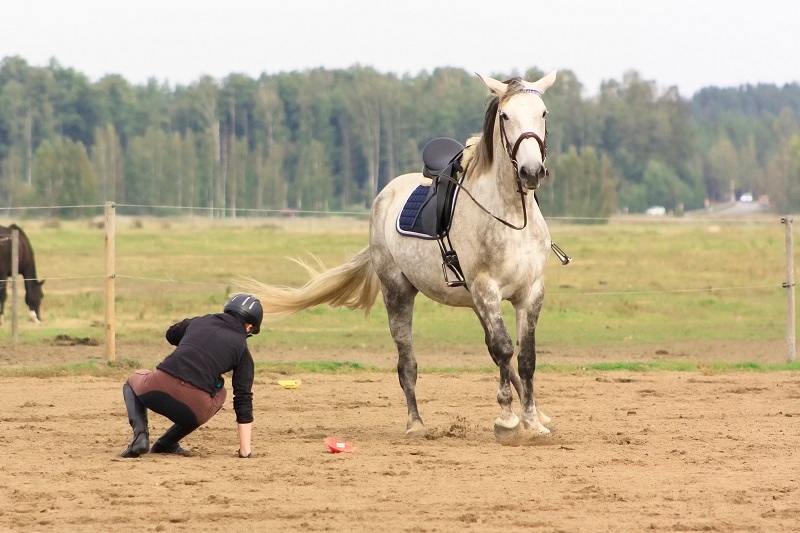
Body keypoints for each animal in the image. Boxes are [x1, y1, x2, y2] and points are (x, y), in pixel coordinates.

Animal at [244, 71, 558, 439]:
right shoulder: (486, 290)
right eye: (506, 116)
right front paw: (507, 420)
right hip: (398, 291)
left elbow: (525, 357)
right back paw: (416, 423)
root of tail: (385, 194)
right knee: (408, 360)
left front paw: (533, 421)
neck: (510, 215)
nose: (531, 172)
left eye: (543, 112)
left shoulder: (530, 293)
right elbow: (505, 348)